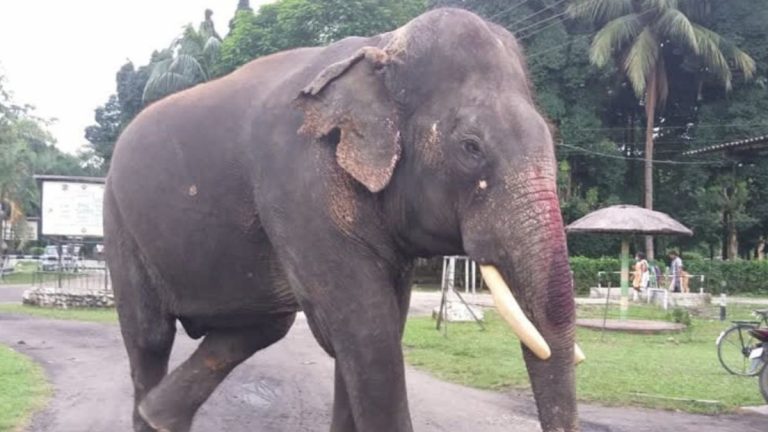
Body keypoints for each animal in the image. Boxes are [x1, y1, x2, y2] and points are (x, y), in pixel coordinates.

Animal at [105, 8, 581, 432]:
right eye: (471, 147)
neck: (382, 46)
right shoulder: (298, 182)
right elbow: (369, 332)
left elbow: (371, 328)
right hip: (119, 219)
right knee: (150, 337)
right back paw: (150, 411)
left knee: (265, 323)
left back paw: (159, 415)